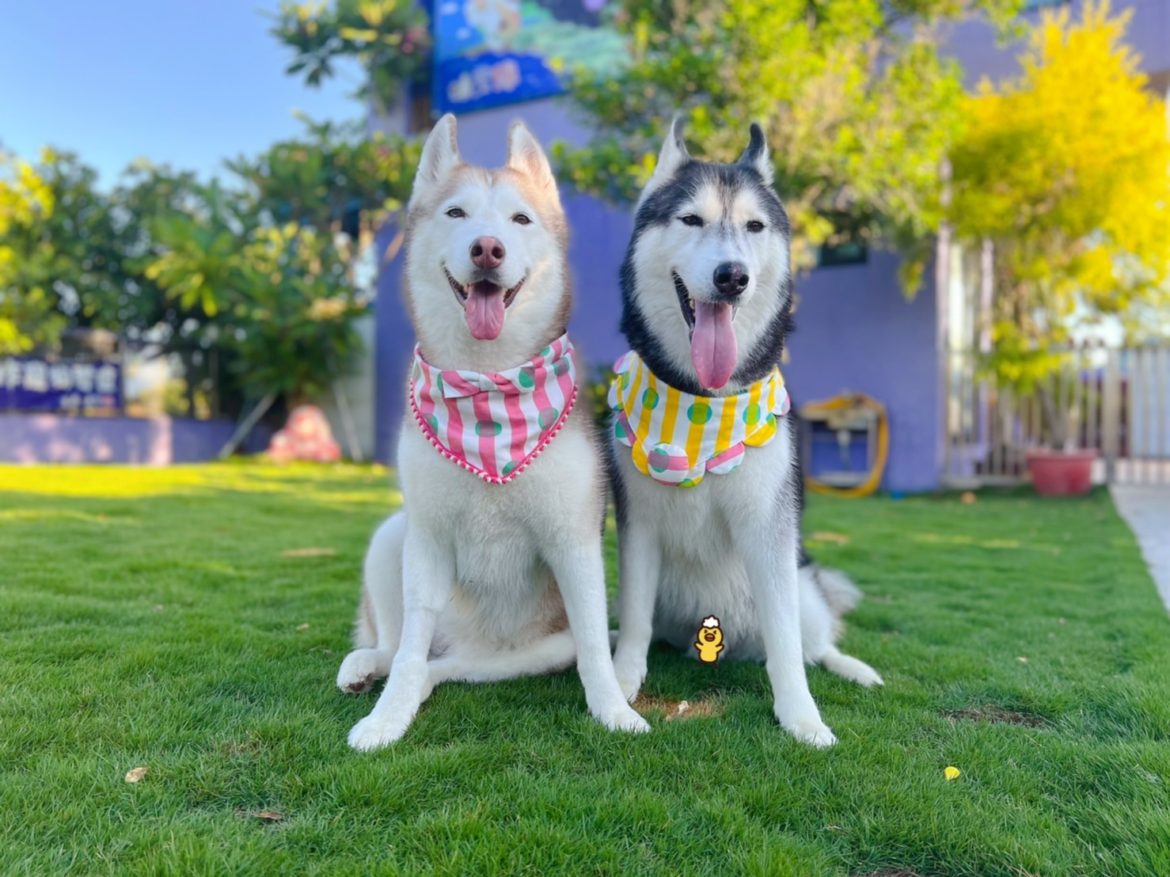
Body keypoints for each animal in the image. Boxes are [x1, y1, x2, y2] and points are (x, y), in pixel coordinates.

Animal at [336, 114, 649, 750]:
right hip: (393, 535)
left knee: (444, 668)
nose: (487, 247)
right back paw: (365, 666)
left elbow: (594, 651)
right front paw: (385, 719)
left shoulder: (575, 541)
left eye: (520, 219)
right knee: (399, 646)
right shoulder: (427, 538)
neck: (487, 386)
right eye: (456, 213)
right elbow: (407, 649)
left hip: (530, 651)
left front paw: (613, 711)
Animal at [607, 119, 882, 748]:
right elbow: (632, 620)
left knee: (815, 641)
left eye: (755, 226)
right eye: (691, 219)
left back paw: (853, 668)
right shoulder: (638, 527)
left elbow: (785, 643)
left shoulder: (768, 530)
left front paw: (801, 716)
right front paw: (622, 681)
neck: (701, 405)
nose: (732, 276)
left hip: (804, 587)